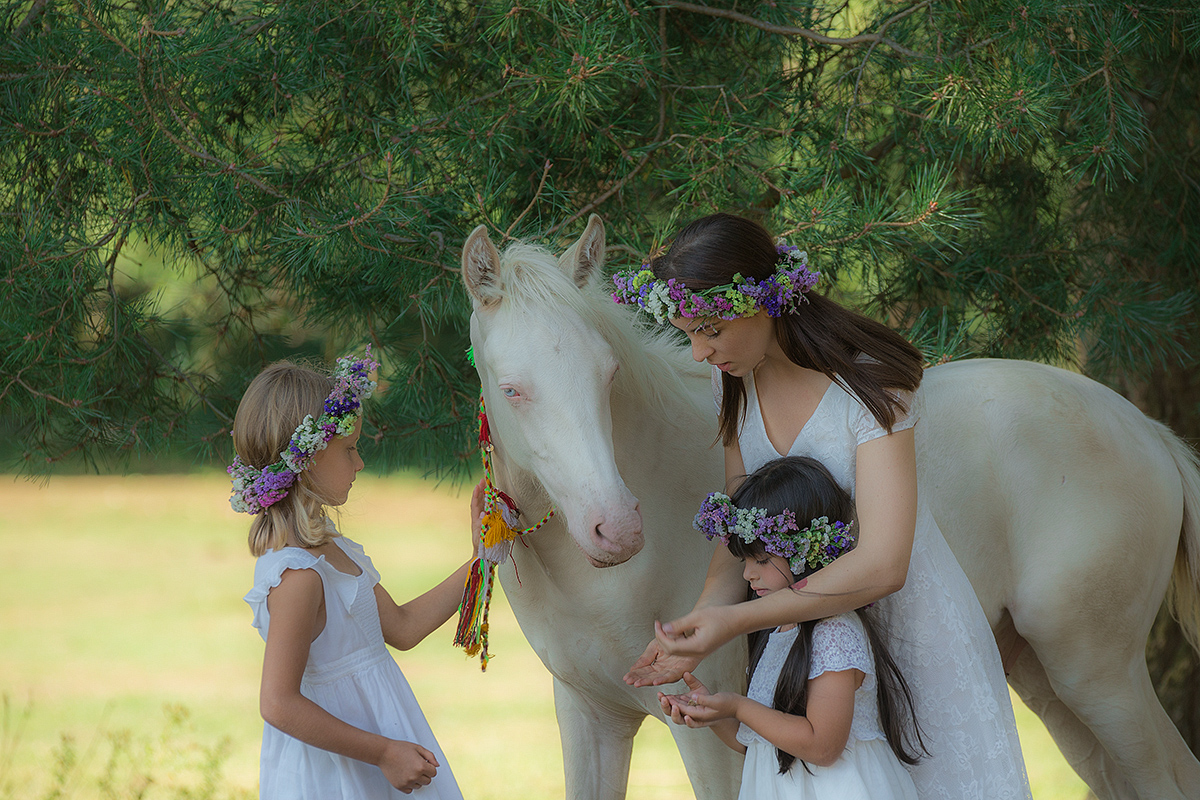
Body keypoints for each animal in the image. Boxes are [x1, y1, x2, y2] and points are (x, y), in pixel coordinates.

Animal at [458, 214, 1200, 800]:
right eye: (512, 388)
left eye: (608, 374)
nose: (616, 529)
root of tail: (1147, 432)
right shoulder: (591, 718)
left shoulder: (705, 728)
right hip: (1045, 677)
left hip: (1096, 674)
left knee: (1167, 775)